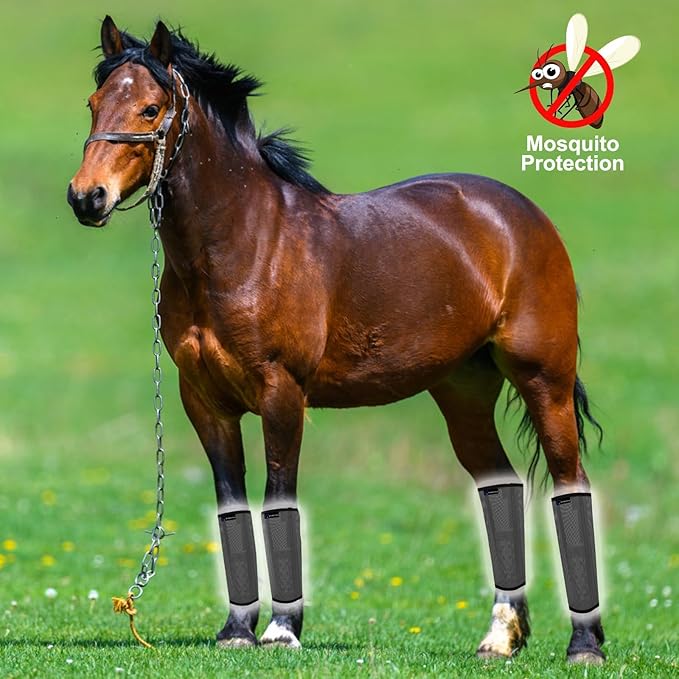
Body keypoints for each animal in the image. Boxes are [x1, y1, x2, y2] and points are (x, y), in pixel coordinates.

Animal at [68, 17, 606, 664]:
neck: (244, 243)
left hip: (543, 380)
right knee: (499, 485)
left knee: (571, 484)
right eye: (94, 103)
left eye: (151, 109)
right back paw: (500, 637)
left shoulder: (281, 394)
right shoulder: (204, 402)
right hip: (463, 390)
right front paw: (236, 631)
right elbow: (231, 507)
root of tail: (519, 213)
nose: (86, 197)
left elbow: (279, 497)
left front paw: (281, 630)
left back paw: (585, 643)